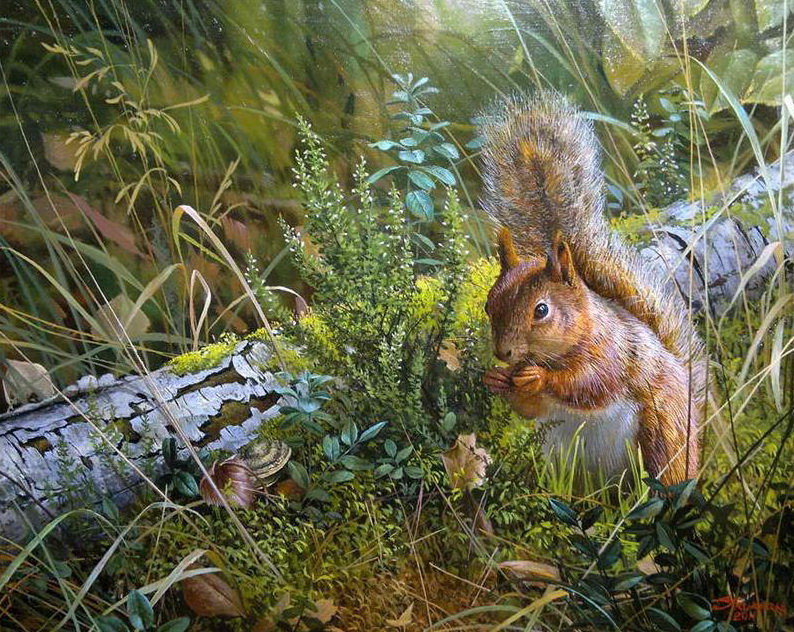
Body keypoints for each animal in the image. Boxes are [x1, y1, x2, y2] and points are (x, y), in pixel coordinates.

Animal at [479, 92, 708, 485]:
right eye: (488, 305)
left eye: (542, 310)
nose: (503, 353)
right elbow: (530, 409)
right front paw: (497, 380)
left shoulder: (613, 353)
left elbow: (588, 384)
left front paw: (539, 377)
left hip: (663, 433)